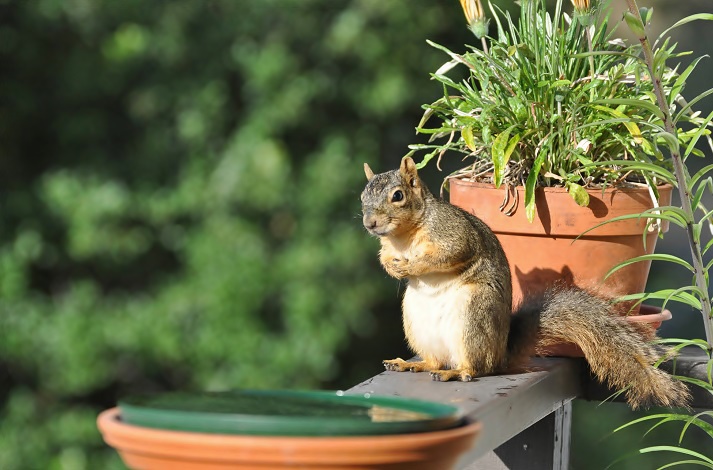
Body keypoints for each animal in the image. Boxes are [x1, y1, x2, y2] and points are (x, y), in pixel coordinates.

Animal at [362, 156, 688, 410]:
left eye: (398, 196)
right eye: (362, 198)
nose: (369, 224)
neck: (404, 236)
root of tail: (500, 355)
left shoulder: (453, 233)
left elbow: (451, 253)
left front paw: (412, 266)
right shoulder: (388, 247)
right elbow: (384, 257)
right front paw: (393, 267)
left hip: (473, 314)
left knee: (476, 368)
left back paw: (459, 371)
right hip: (415, 321)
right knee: (434, 361)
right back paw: (413, 363)